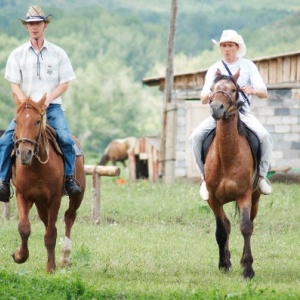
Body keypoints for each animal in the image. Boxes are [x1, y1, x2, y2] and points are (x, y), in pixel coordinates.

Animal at [11, 95, 84, 274]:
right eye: (16, 121)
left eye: (38, 121)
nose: (24, 153)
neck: (37, 167)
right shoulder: (22, 195)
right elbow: (24, 228)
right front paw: (19, 255)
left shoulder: (55, 198)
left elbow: (51, 234)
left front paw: (51, 267)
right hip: (40, 203)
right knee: (47, 222)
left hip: (78, 196)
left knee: (69, 217)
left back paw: (65, 258)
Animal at [205, 70, 262, 278]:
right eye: (211, 89)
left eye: (233, 89)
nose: (216, 108)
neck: (227, 157)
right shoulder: (213, 199)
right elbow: (221, 230)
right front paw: (223, 263)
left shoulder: (244, 195)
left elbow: (245, 227)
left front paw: (248, 268)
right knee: (227, 225)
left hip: (255, 197)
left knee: (250, 223)